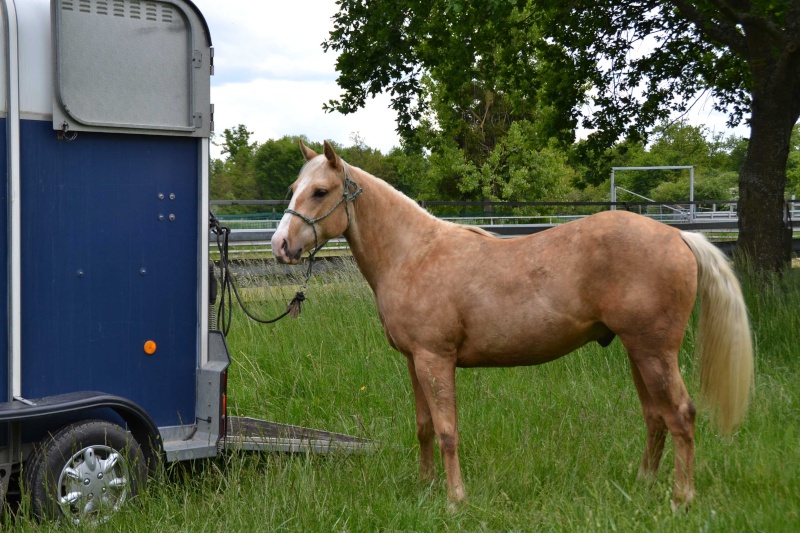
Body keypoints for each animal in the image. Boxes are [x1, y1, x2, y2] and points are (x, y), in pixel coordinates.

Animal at [272, 141, 752, 508]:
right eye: (293, 189)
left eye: (320, 191)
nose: (280, 245)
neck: (414, 253)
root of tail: (677, 235)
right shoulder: (413, 361)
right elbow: (424, 427)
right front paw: (426, 488)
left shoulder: (435, 359)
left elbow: (447, 431)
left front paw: (455, 499)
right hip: (639, 352)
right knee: (656, 418)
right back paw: (643, 484)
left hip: (655, 353)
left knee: (681, 415)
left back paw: (681, 498)